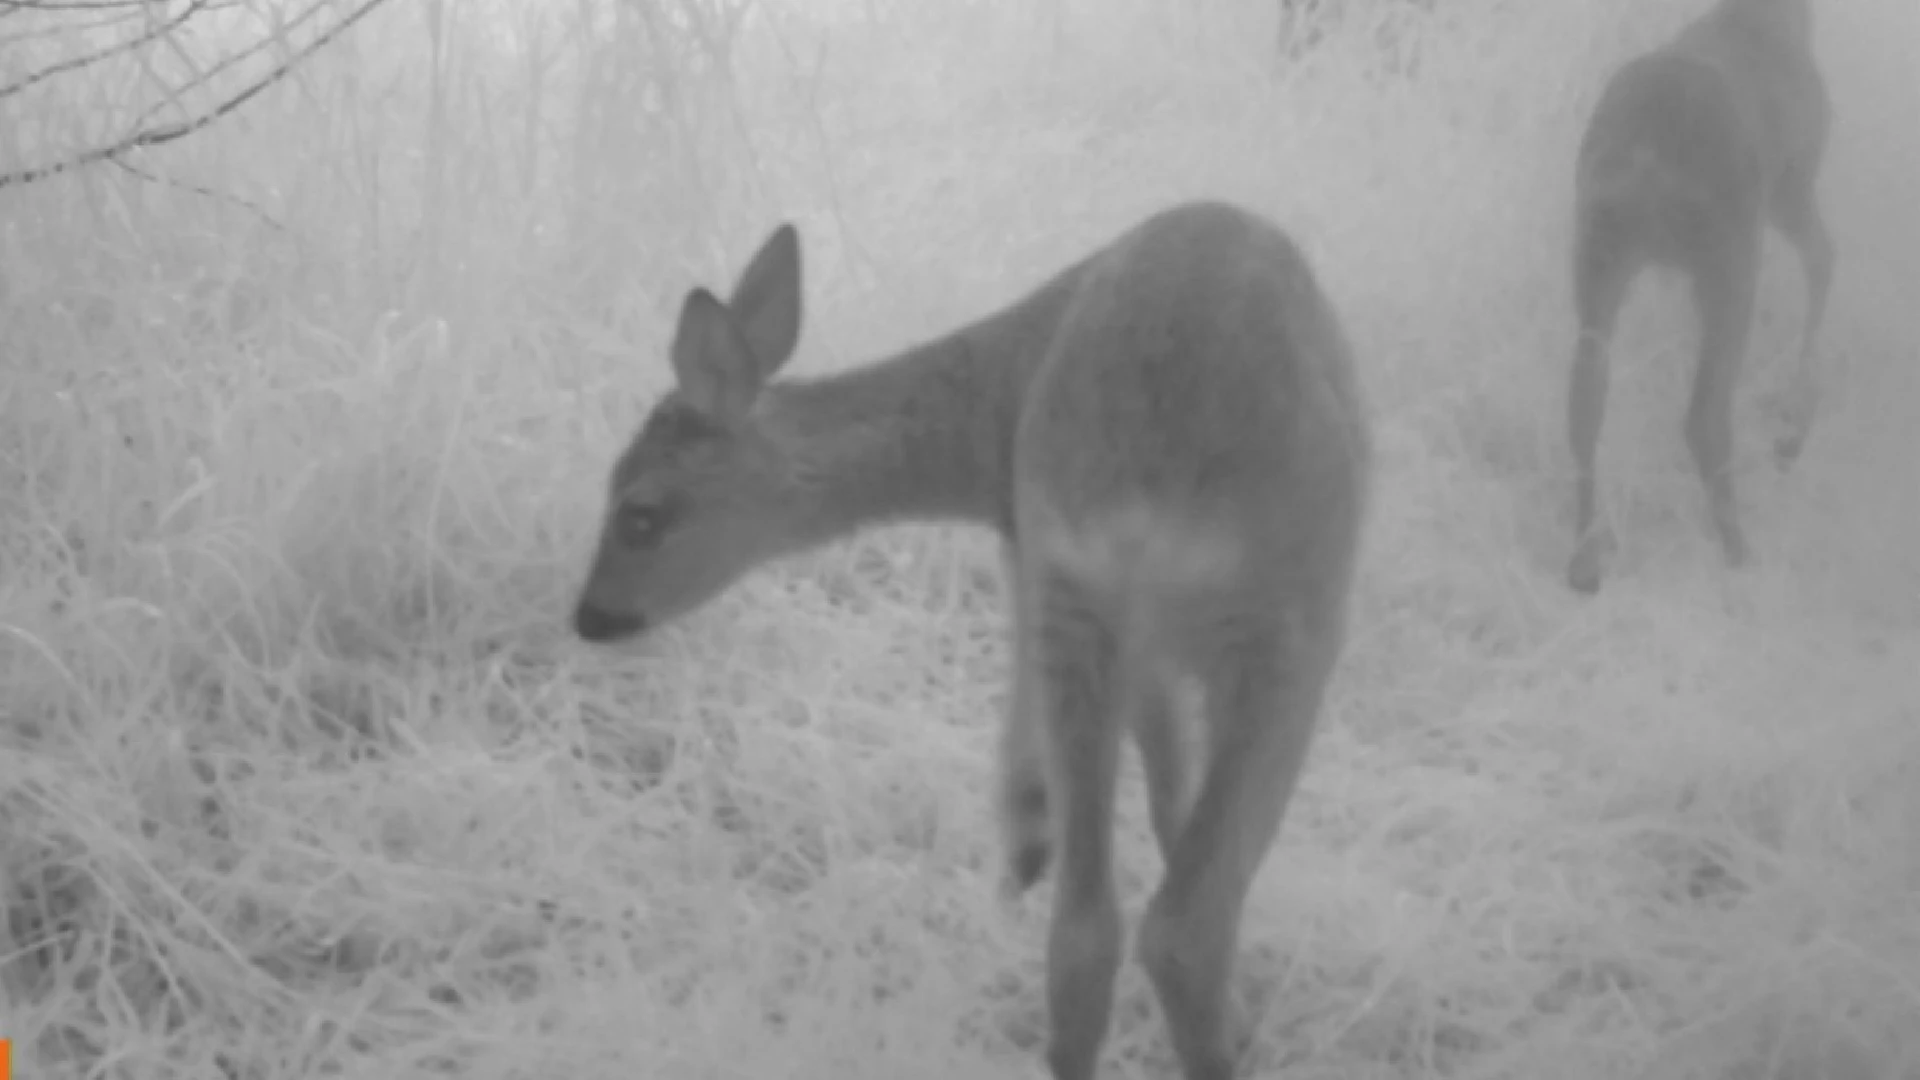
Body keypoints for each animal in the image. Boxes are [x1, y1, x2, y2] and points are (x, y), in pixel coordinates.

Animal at [570, 200, 1372, 1080]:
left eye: (640, 513)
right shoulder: (1046, 560)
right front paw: (1027, 841)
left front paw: (1024, 846)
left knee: (1086, 930)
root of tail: (1147, 487)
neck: (995, 410)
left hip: (1092, 606)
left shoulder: (1039, 551)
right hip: (1286, 623)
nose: (590, 616)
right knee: (1183, 923)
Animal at [1564, 0, 1834, 594]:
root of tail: (1648, 162)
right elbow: (1825, 262)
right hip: (1727, 258)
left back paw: (1585, 560)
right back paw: (1739, 552)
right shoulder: (1791, 181)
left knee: (1583, 400)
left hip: (1598, 251)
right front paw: (1795, 422)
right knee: (1704, 413)